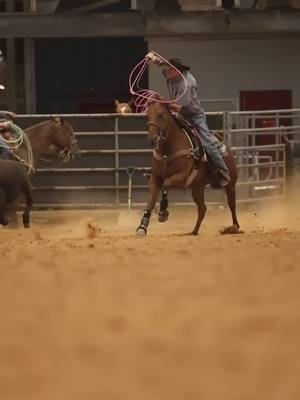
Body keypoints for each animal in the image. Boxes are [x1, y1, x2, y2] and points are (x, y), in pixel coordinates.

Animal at [137, 101, 240, 236]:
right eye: (147, 115)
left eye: (161, 115)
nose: (152, 139)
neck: (168, 150)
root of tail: (224, 145)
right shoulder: (155, 178)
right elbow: (151, 201)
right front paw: (142, 226)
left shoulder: (182, 177)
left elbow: (166, 184)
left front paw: (163, 213)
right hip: (197, 187)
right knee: (202, 208)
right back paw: (194, 231)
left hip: (230, 184)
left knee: (232, 204)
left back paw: (234, 227)